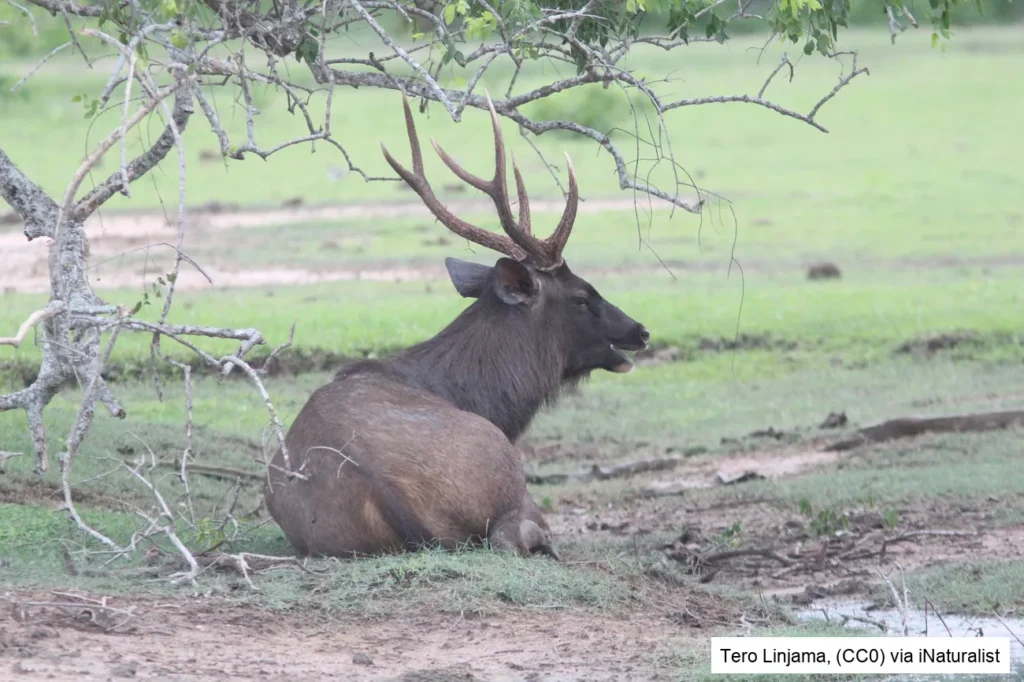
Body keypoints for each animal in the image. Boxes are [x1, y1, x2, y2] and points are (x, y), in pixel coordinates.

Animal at [264, 93, 649, 560]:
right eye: (581, 296)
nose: (640, 331)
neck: (485, 401)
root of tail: (384, 489)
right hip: (507, 477)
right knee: (513, 537)